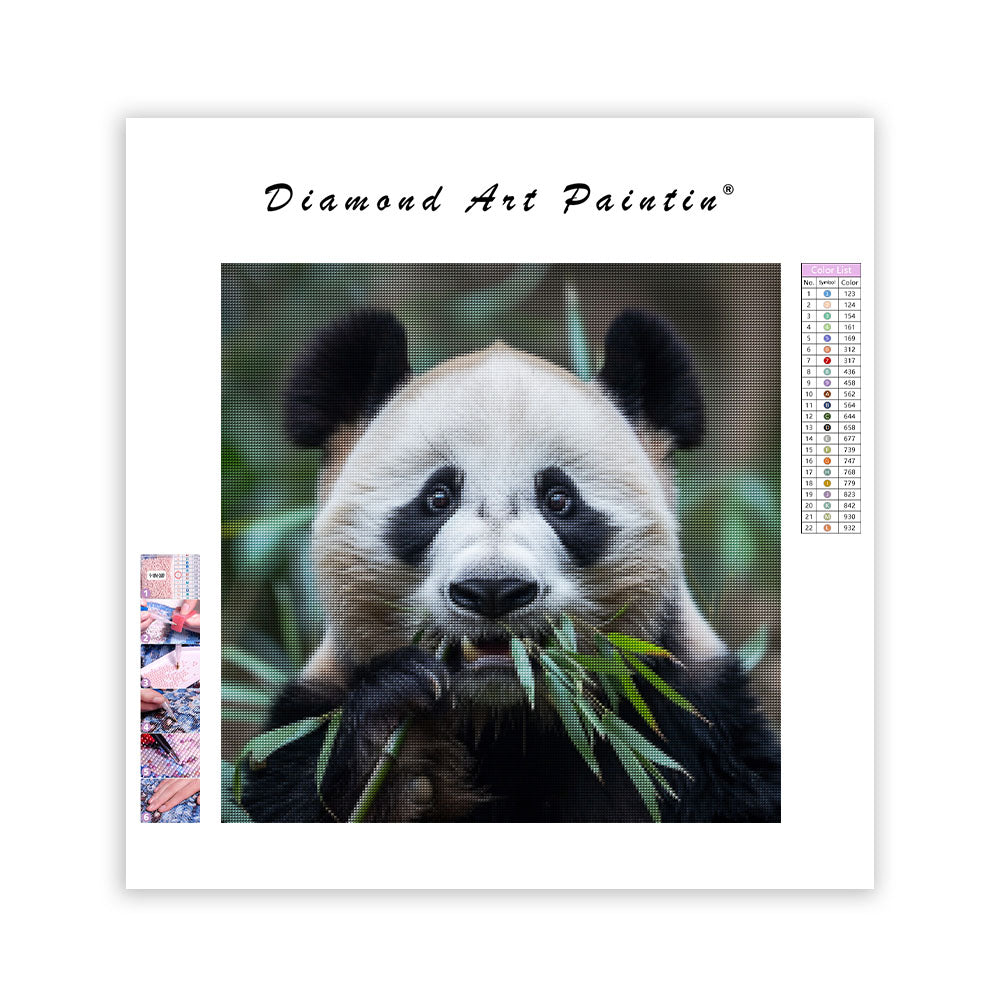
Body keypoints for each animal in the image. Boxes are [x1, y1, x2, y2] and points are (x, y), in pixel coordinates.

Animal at [241, 308, 780, 822]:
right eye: (437, 497)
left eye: (560, 499)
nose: (493, 590)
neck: (506, 719)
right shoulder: (315, 707)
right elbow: (296, 790)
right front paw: (392, 711)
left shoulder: (692, 717)